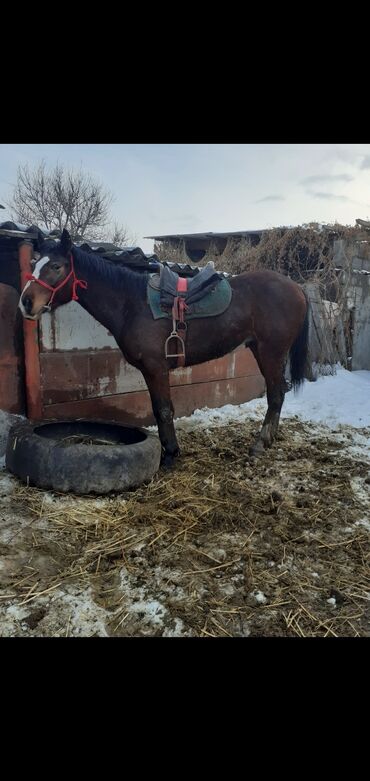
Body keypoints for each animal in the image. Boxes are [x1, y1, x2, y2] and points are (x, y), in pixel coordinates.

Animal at [19, 229, 310, 466]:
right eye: (34, 264)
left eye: (56, 265)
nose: (26, 302)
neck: (131, 303)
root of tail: (296, 287)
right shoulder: (151, 370)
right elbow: (159, 409)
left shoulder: (156, 367)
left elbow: (163, 409)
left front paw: (169, 454)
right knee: (278, 393)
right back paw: (269, 439)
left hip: (271, 352)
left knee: (276, 395)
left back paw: (260, 444)